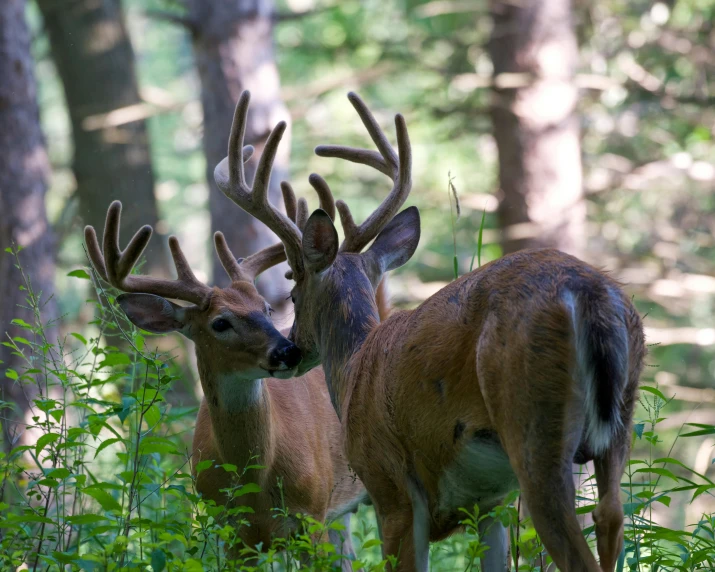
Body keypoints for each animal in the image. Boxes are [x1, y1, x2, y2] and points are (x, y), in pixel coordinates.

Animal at [85, 127, 370, 564]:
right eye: (220, 323)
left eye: (268, 307)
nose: (288, 351)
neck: (256, 479)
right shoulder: (232, 534)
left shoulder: (313, 515)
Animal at [215, 91, 648, 568]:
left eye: (292, 294)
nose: (290, 349)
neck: (352, 370)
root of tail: (589, 292)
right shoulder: (488, 506)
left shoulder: (390, 487)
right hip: (620, 421)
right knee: (611, 518)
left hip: (533, 418)